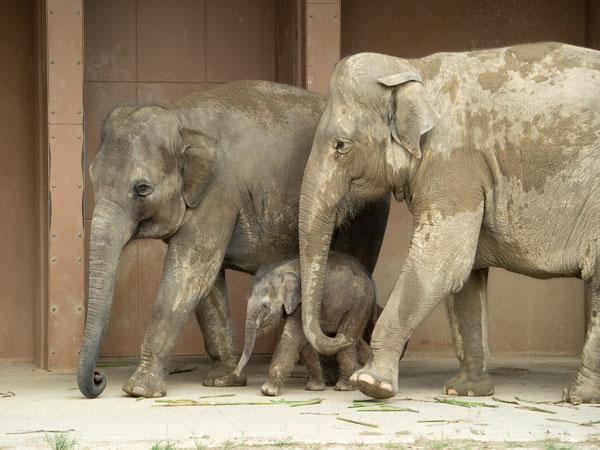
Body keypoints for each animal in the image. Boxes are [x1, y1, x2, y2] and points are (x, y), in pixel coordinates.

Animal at [234, 251, 376, 396]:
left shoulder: (303, 302)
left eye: (265, 306)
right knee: (352, 340)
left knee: (348, 337)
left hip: (360, 304)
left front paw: (268, 391)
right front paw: (315, 388)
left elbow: (292, 338)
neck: (282, 269)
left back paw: (344, 387)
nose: (236, 374)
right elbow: (305, 344)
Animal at [298, 41, 600, 400]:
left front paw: (371, 384)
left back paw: (577, 396)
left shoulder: (453, 163)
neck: (413, 68)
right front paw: (465, 390)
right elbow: (467, 274)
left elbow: (441, 262)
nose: (339, 334)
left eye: (340, 146)